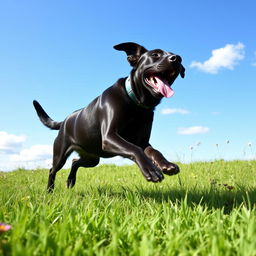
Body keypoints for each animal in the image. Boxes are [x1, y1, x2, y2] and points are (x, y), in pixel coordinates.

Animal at [33, 42, 185, 191]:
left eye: (174, 55)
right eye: (155, 54)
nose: (177, 58)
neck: (136, 104)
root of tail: (64, 121)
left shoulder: (143, 142)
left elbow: (154, 151)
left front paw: (167, 165)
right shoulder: (109, 136)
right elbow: (134, 149)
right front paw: (151, 170)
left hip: (92, 158)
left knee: (75, 162)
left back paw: (70, 181)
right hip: (61, 154)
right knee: (52, 169)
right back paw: (49, 190)